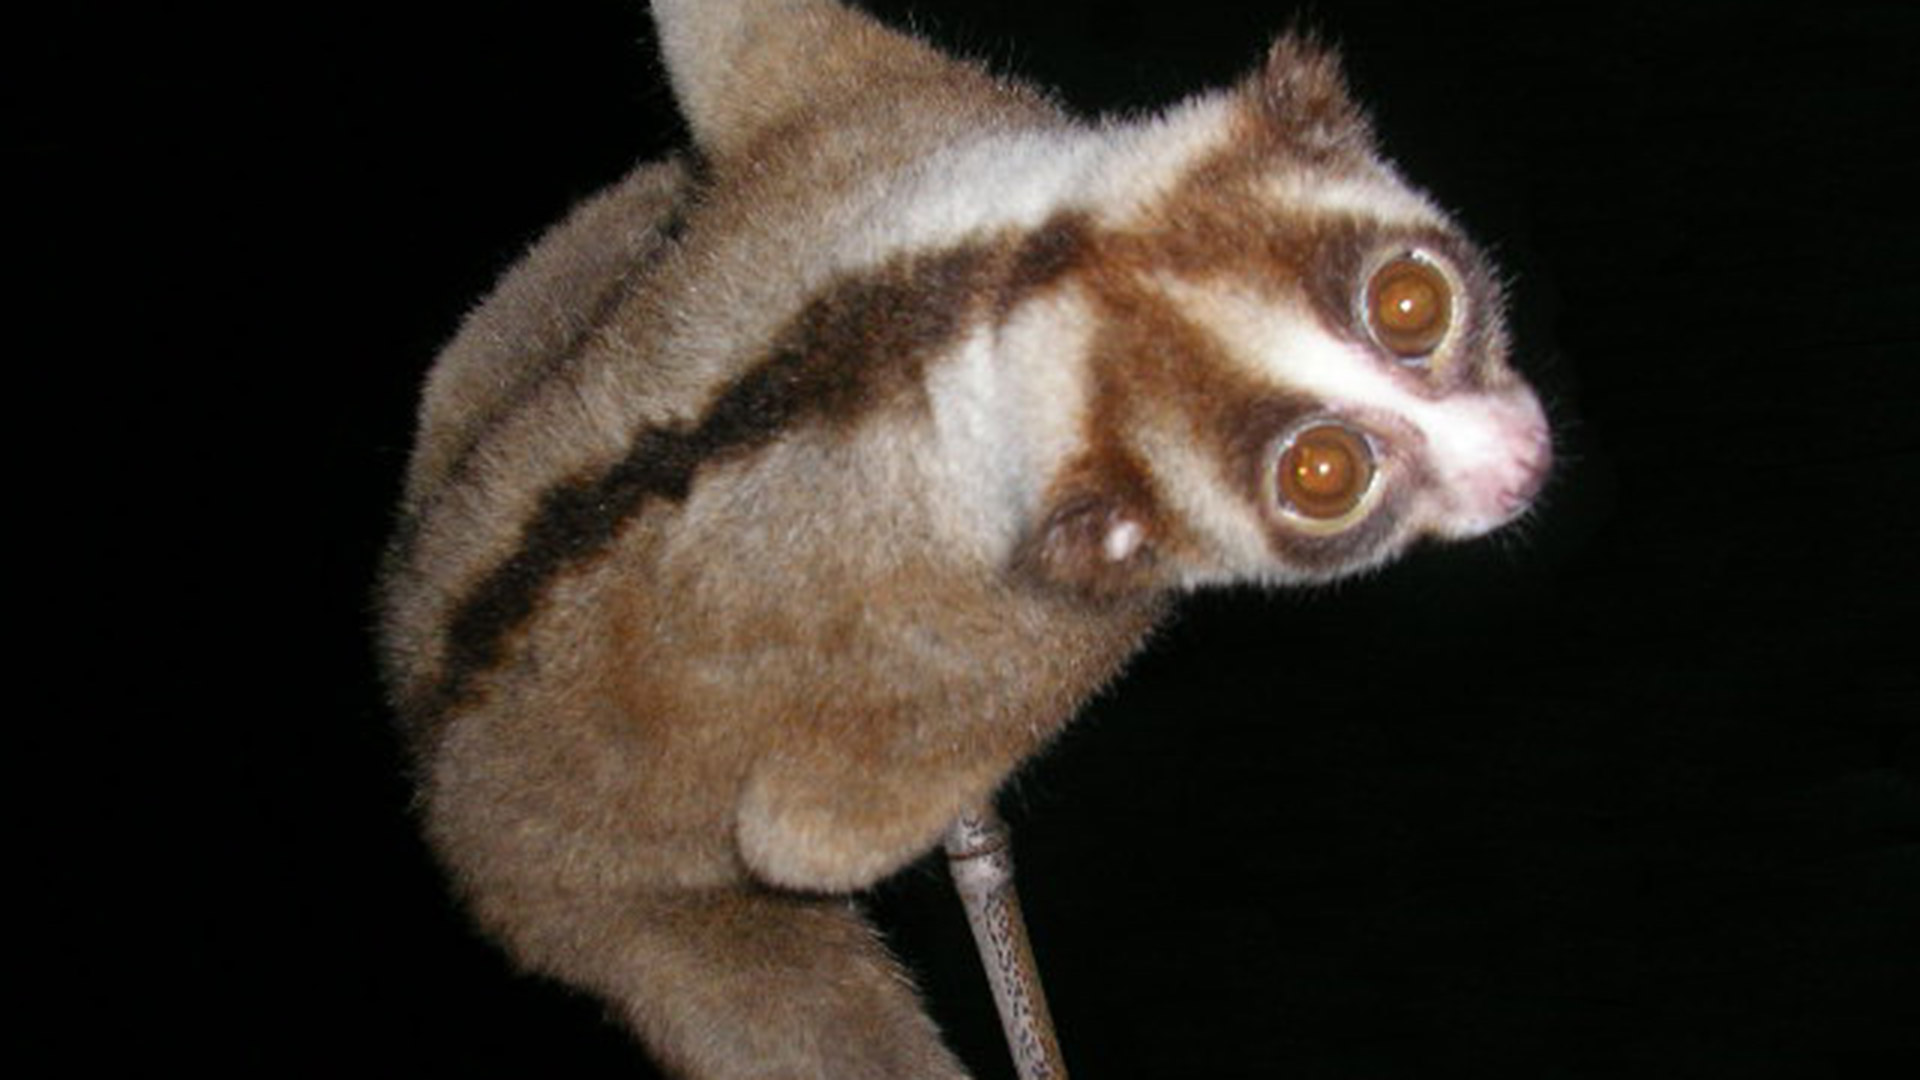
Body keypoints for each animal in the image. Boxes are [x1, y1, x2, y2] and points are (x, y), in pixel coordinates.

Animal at [376, 1, 1553, 1077]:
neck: (993, 304)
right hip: (601, 917)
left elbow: (721, 34)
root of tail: (429, 774)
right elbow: (806, 840)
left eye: (1410, 302)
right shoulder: (1043, 635)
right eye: (1323, 475)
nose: (1520, 461)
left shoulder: (921, 120)